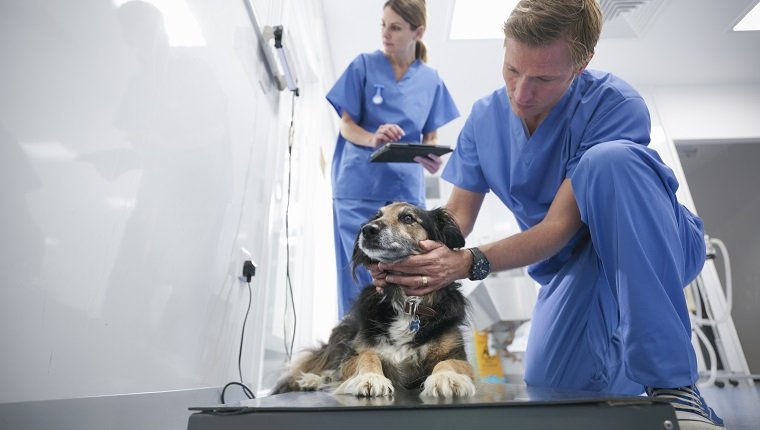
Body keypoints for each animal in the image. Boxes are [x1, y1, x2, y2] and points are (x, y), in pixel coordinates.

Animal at [272, 203, 476, 398]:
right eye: (377, 216)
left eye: (408, 218)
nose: (368, 229)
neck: (406, 304)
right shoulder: (354, 354)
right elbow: (368, 357)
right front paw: (370, 378)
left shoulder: (457, 355)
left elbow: (448, 363)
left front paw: (446, 378)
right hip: (342, 335)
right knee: (328, 366)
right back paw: (311, 380)